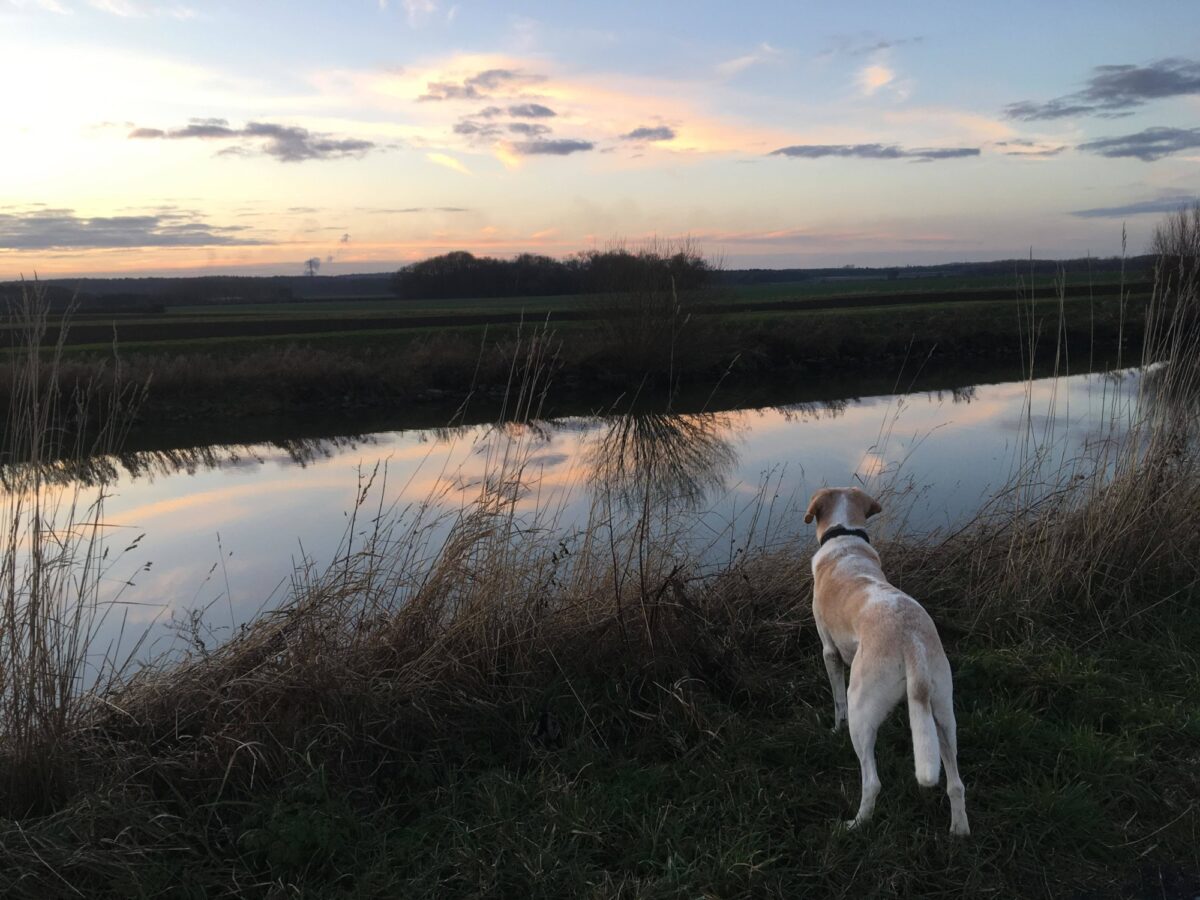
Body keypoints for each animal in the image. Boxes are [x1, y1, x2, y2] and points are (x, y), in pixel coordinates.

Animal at [801, 487, 969, 840]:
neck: (846, 537)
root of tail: (910, 641)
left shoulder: (829, 652)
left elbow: (836, 700)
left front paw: (834, 728)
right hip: (943, 712)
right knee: (956, 782)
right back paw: (959, 829)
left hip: (862, 707)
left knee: (872, 782)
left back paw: (855, 824)